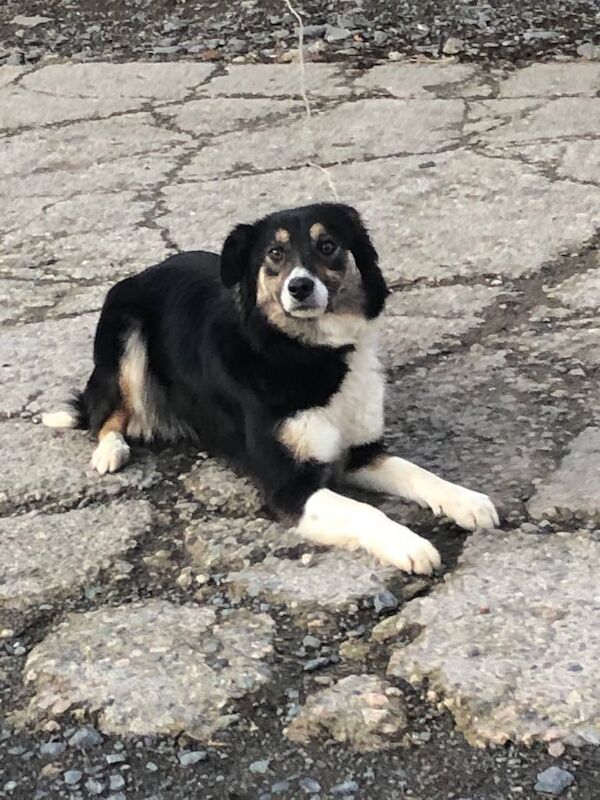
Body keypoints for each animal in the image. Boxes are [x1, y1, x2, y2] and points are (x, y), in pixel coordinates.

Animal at [44, 203, 500, 572]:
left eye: (328, 245)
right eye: (275, 254)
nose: (300, 287)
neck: (310, 353)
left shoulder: (360, 454)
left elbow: (417, 472)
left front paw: (466, 501)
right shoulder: (289, 488)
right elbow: (365, 512)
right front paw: (409, 544)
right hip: (127, 333)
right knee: (106, 413)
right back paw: (111, 450)